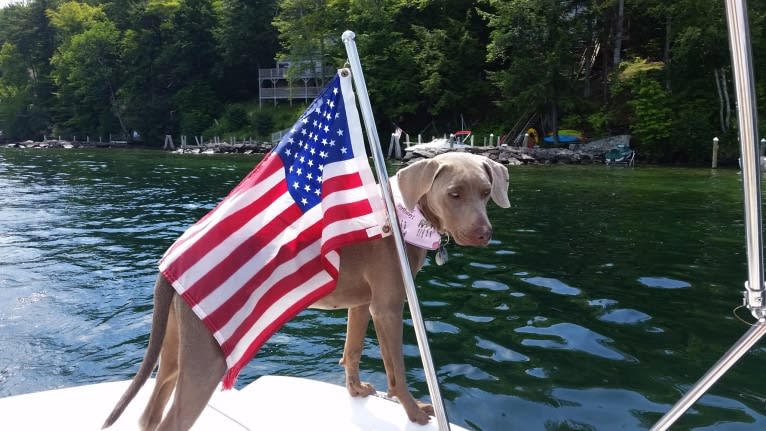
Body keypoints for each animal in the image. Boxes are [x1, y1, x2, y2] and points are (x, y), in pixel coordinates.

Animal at [100, 151, 510, 428]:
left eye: (486, 191)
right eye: (454, 193)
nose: (483, 234)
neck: (402, 216)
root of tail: (170, 260)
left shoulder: (362, 304)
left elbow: (352, 349)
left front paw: (356, 391)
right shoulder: (388, 305)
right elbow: (395, 367)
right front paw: (413, 410)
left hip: (174, 347)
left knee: (150, 412)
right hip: (208, 355)